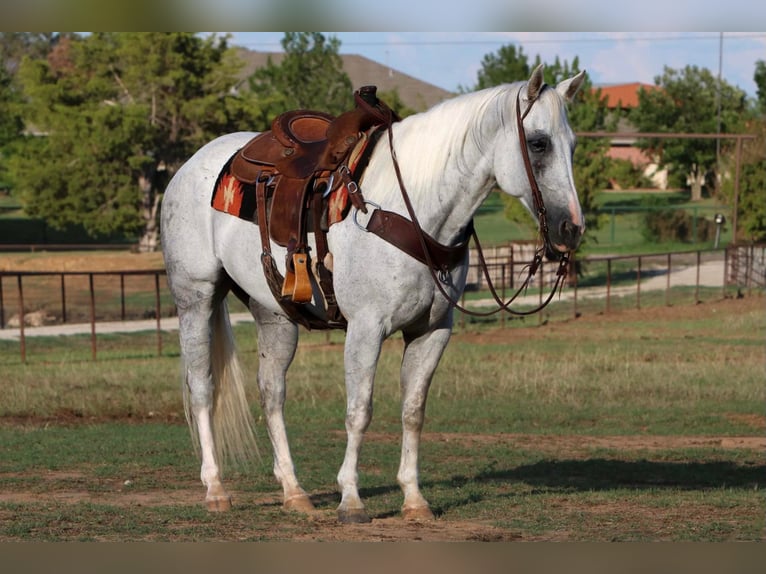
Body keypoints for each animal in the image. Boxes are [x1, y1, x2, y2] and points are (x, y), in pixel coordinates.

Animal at [160, 65, 588, 524]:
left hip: (273, 314)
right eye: (539, 143)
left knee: (272, 393)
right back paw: (215, 489)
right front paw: (351, 499)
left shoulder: (432, 330)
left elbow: (413, 411)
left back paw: (295, 492)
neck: (413, 206)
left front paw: (414, 499)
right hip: (196, 297)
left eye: (573, 145)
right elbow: (359, 410)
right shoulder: (365, 328)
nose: (571, 229)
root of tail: (192, 166)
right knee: (202, 386)